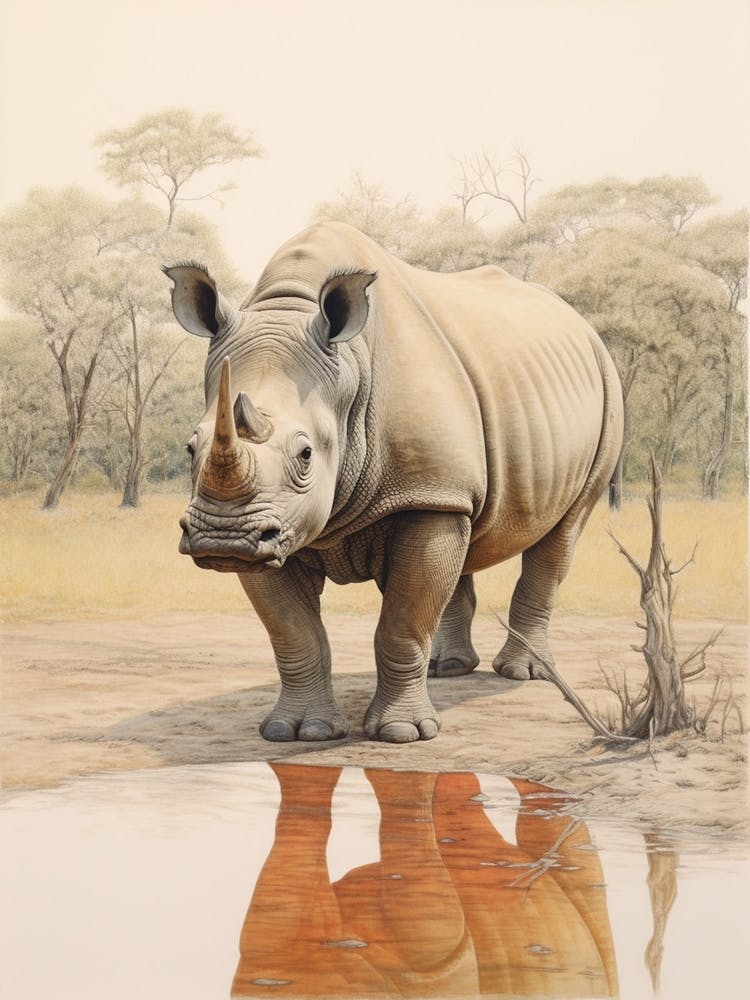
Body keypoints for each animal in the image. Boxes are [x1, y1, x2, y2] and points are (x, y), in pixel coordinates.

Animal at [166, 222, 623, 745]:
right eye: (190, 449)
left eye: (306, 455)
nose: (222, 539)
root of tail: (581, 324)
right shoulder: (274, 528)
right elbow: (293, 632)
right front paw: (297, 732)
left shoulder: (422, 494)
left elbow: (403, 622)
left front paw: (404, 734)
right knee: (465, 532)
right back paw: (448, 669)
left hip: (607, 390)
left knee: (562, 533)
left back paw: (525, 674)